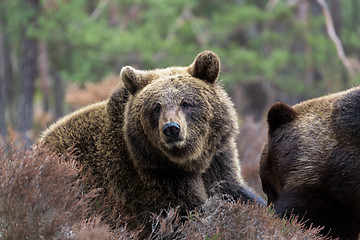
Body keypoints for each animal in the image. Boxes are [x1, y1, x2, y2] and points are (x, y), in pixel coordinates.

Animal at [40, 51, 264, 232]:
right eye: (156, 107)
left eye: (185, 103)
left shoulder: (217, 161)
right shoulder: (150, 180)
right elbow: (181, 215)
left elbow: (235, 192)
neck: (187, 162)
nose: (171, 129)